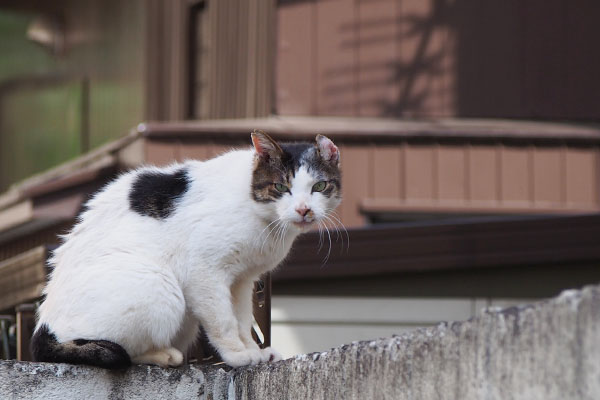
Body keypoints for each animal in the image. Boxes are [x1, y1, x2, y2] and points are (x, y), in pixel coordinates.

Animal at [31, 130, 342, 368]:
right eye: (280, 187)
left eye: (319, 186)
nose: (303, 210)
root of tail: (42, 328)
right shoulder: (204, 272)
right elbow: (224, 321)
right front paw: (238, 356)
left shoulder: (243, 280)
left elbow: (243, 320)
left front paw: (254, 351)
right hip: (162, 288)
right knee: (120, 351)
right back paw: (166, 356)